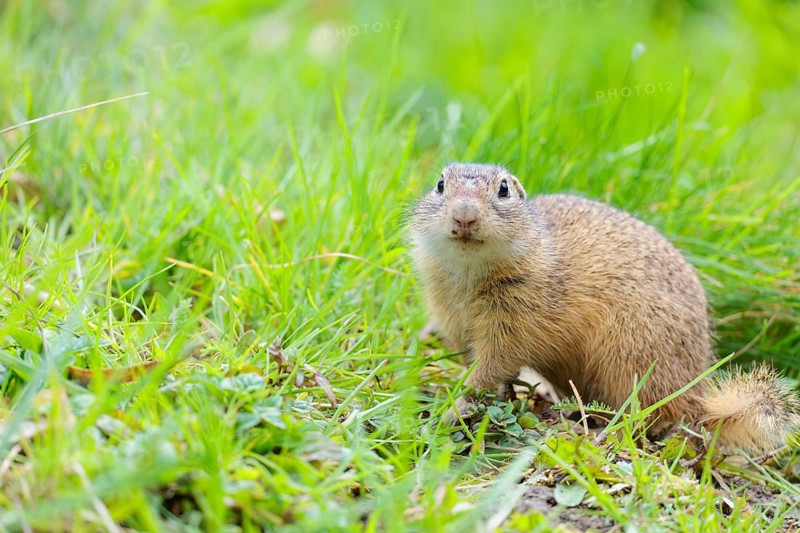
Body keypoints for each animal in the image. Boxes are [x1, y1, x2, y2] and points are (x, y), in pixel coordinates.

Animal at [410, 162, 799, 453]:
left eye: (503, 189)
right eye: (440, 184)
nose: (464, 216)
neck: (470, 274)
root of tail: (697, 395)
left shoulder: (513, 322)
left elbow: (490, 367)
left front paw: (453, 407)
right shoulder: (454, 320)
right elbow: (477, 364)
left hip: (630, 356)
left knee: (647, 417)